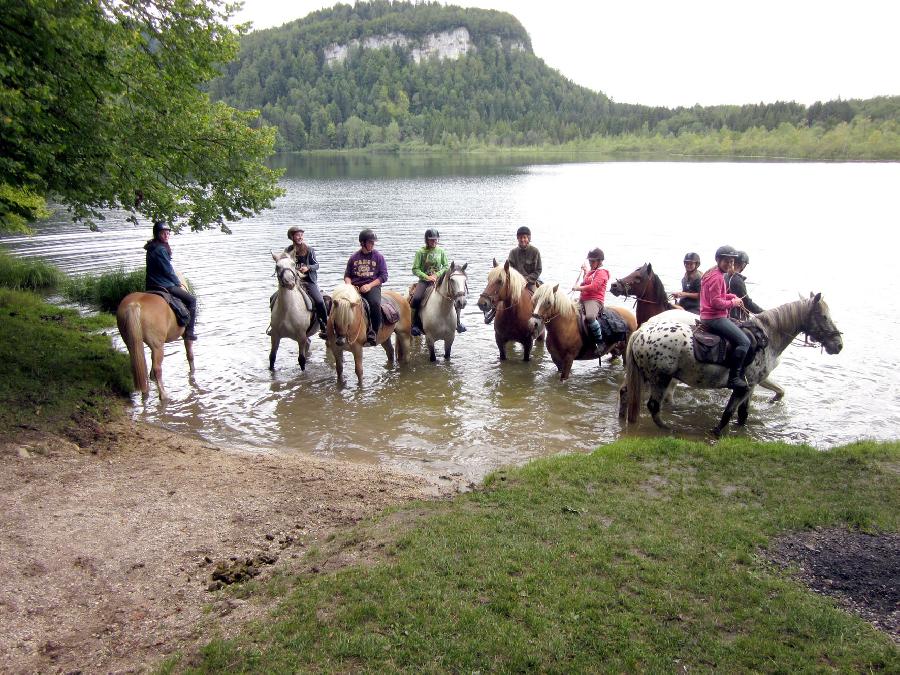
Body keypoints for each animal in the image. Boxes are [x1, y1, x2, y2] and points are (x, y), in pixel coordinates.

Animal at [624, 294, 844, 436]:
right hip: (660, 377)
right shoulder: (746, 385)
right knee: (654, 405)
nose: (838, 345)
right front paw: (716, 432)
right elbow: (730, 411)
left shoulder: (752, 385)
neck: (767, 337)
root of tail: (642, 330)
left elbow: (742, 414)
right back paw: (669, 429)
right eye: (824, 316)